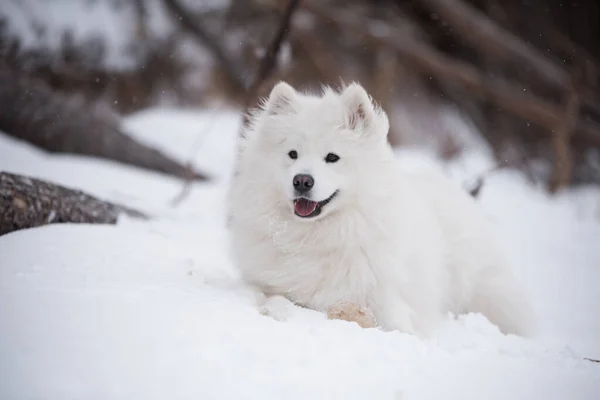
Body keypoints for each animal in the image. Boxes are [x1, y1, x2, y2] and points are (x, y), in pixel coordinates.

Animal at [227, 82, 532, 338]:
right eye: (292, 154)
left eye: (332, 157)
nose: (302, 180)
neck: (319, 237)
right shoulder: (271, 285)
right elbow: (274, 298)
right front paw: (274, 310)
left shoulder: (384, 295)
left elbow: (398, 324)